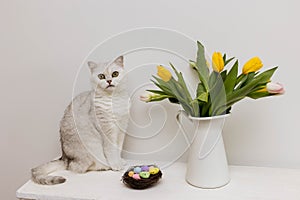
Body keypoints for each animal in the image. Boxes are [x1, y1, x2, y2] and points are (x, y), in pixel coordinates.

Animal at [31, 55, 130, 184]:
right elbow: (111, 151)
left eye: (115, 74)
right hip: (91, 148)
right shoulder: (108, 131)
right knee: (80, 167)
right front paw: (115, 165)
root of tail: (65, 159)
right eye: (101, 76)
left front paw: (120, 161)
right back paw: (106, 166)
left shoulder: (121, 130)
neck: (113, 101)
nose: (109, 81)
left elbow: (118, 149)